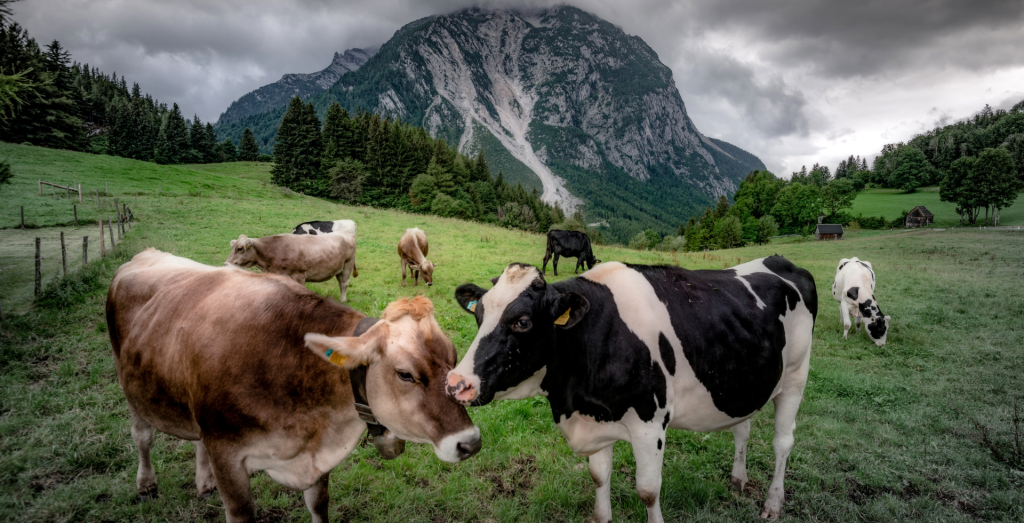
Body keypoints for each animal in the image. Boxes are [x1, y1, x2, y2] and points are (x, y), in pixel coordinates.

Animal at [107, 249, 481, 523]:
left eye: (454, 356)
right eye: (405, 374)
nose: (470, 443)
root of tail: (146, 253)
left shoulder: (315, 459)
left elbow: (319, 506)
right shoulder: (226, 452)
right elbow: (242, 512)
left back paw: (204, 483)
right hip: (131, 386)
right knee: (142, 436)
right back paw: (146, 485)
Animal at [226, 229, 356, 301]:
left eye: (239, 248)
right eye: (232, 247)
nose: (226, 264)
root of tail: (346, 232)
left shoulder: (299, 275)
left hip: (348, 264)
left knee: (344, 283)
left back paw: (343, 300)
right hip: (339, 268)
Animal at [447, 257, 817, 522]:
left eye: (522, 322)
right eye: (479, 314)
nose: (456, 383)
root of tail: (780, 261)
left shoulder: (650, 423)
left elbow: (648, 491)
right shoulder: (596, 417)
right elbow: (599, 477)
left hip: (795, 377)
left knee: (783, 442)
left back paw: (772, 504)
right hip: (745, 381)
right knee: (742, 428)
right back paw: (738, 480)